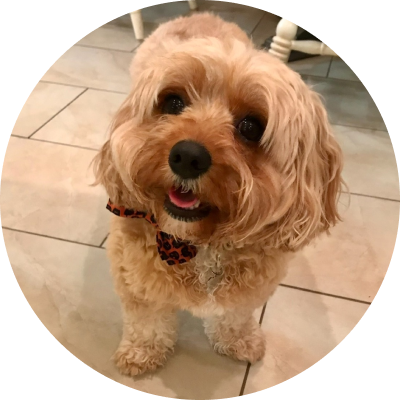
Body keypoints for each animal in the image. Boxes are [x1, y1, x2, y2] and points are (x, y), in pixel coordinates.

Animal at [91, 11, 344, 376]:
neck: (198, 244)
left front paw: (239, 340)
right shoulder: (136, 280)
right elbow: (147, 321)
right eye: (173, 102)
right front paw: (142, 352)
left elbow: (234, 316)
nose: (187, 157)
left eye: (251, 126)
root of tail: (199, 13)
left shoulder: (248, 290)